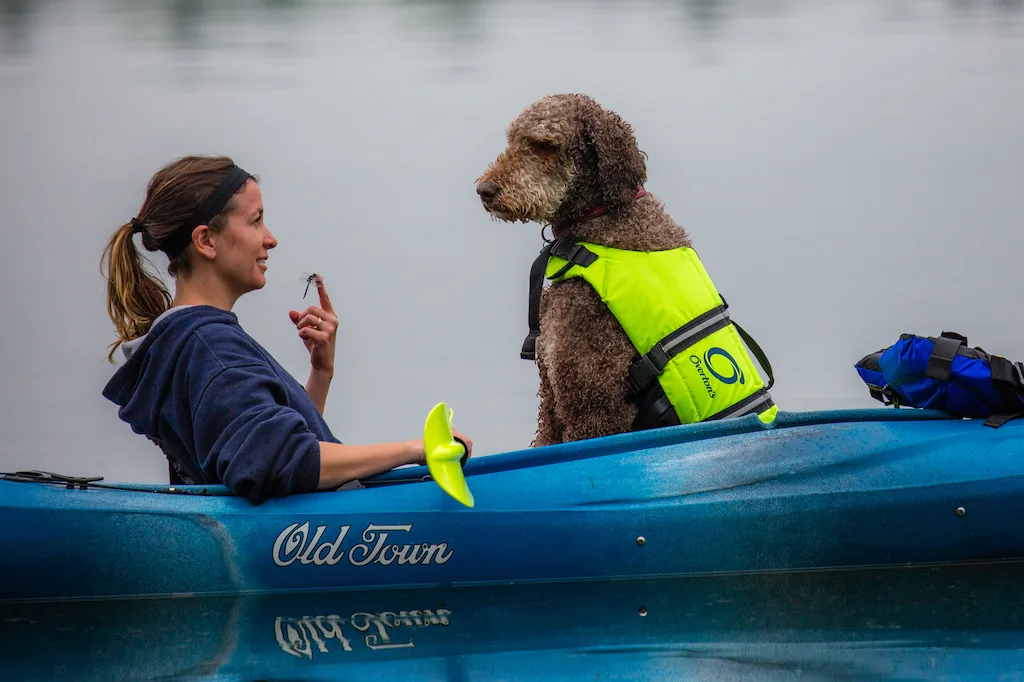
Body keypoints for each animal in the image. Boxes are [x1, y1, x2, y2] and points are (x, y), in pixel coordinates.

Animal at [473, 95, 696, 446]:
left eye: (544, 144)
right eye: (512, 140)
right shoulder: (550, 395)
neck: (600, 217)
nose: (485, 190)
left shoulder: (591, 402)